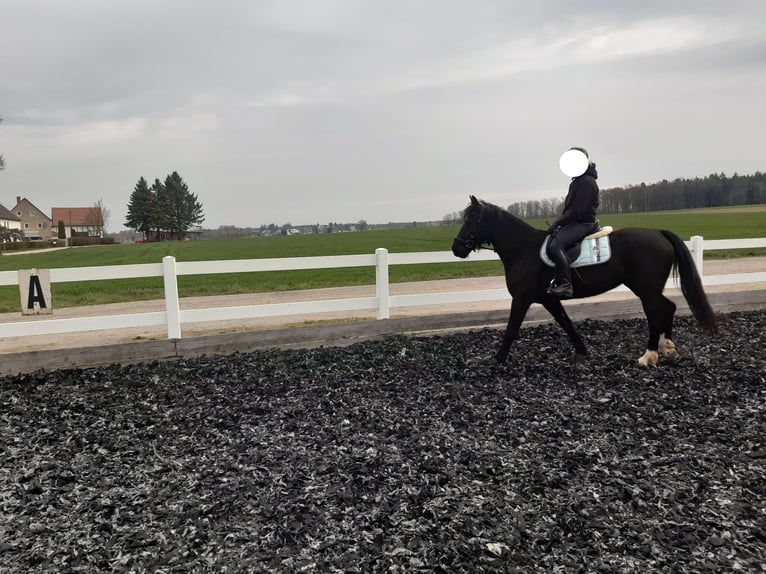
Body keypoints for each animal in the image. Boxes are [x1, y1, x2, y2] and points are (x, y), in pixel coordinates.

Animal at [451, 195, 718, 366]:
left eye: (472, 220)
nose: (456, 248)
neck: (523, 250)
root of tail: (658, 233)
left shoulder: (522, 298)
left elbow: (511, 328)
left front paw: (497, 359)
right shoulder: (548, 298)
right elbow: (566, 323)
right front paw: (582, 352)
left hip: (645, 290)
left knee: (655, 314)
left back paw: (648, 356)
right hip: (648, 289)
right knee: (668, 307)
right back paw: (667, 348)